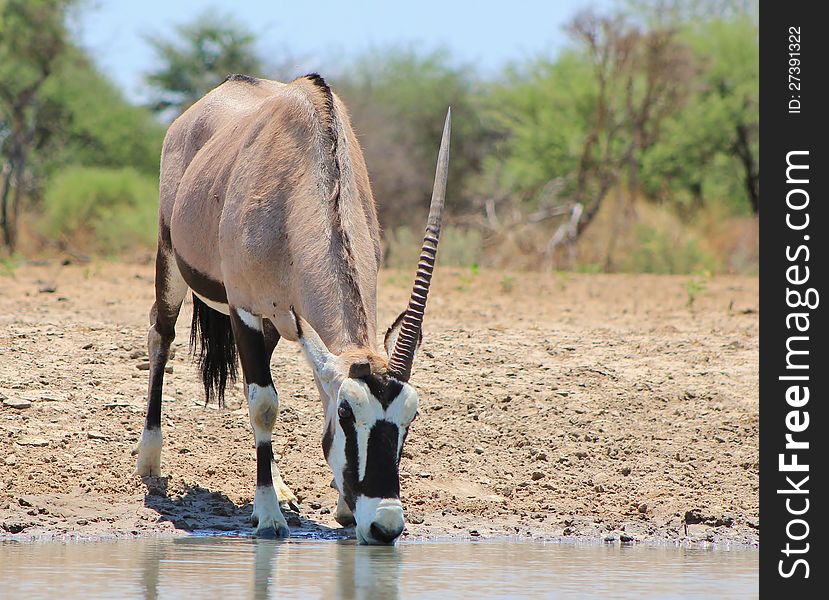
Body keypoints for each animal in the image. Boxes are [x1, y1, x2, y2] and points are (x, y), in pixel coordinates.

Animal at [134, 72, 452, 548]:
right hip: (170, 256)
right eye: (348, 412)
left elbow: (295, 392)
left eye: (409, 417)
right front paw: (268, 517)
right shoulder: (244, 308)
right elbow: (264, 403)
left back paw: (283, 488)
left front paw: (342, 508)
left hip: (271, 322)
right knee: (162, 337)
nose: (385, 526)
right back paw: (150, 462)